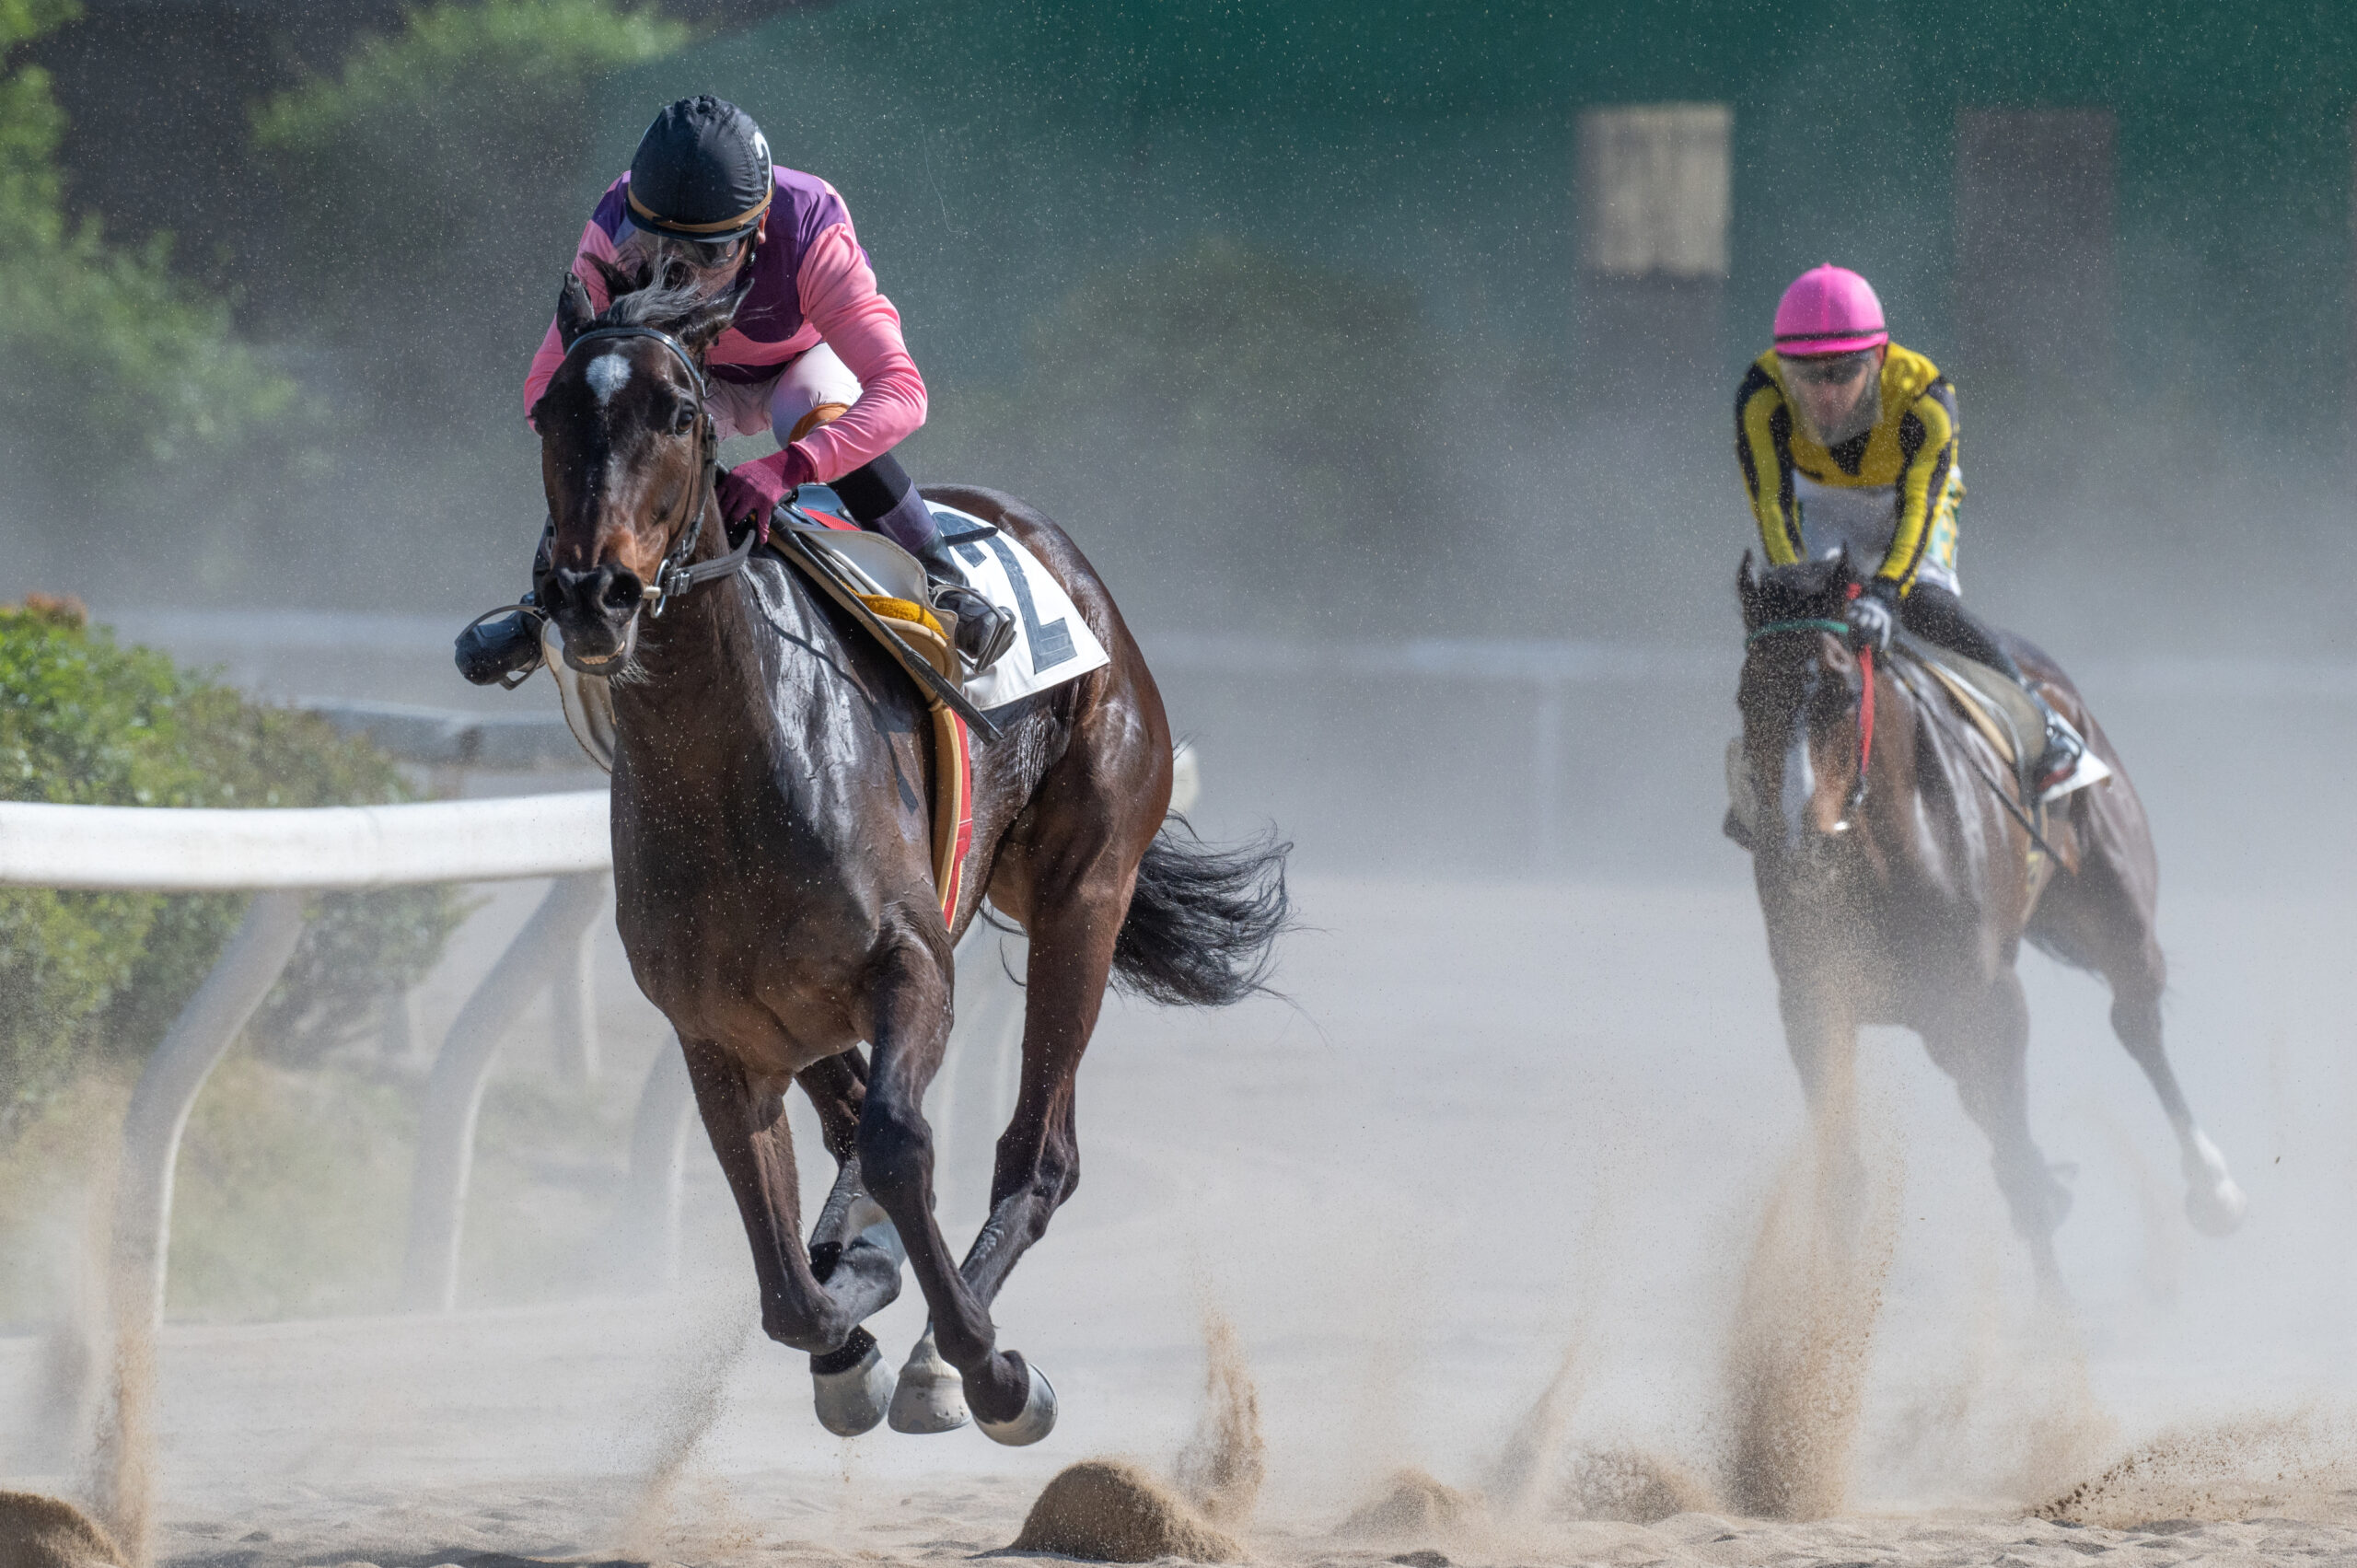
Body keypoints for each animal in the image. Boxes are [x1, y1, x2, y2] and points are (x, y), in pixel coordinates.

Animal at [528, 266, 1290, 1443]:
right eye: (551, 412)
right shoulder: (715, 1030)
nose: (590, 593)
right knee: (859, 1132)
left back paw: (948, 1348)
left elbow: (896, 1141)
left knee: (1037, 1153)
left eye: (679, 411)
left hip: (1086, 889)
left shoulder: (911, 961)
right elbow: (788, 1283)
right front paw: (847, 1322)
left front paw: (981, 1360)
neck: (735, 768)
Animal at [1733, 552, 2244, 1290]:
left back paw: (2214, 1186)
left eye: (1844, 693)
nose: (1806, 847)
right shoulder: (1814, 1002)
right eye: (1748, 699)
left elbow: (2019, 1163)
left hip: (2113, 899)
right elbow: (1845, 1179)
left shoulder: (1989, 998)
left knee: (2136, 1019)